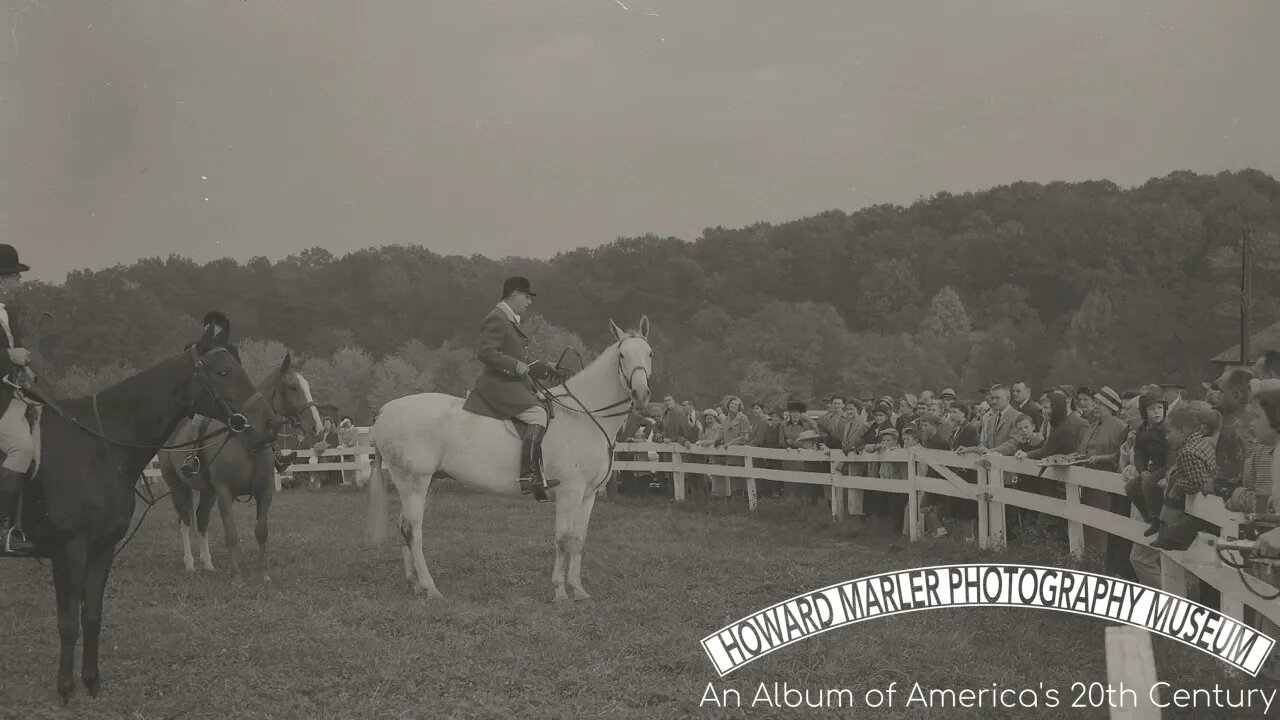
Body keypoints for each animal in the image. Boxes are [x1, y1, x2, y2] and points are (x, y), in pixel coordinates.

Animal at [13, 324, 282, 702]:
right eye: (224, 372)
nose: (270, 424)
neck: (98, 446)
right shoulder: (69, 551)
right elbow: (67, 622)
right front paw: (65, 688)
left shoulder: (101, 549)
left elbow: (91, 617)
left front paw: (91, 681)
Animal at [156, 351, 322, 579]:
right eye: (292, 387)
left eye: (306, 384)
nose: (316, 426)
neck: (248, 441)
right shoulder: (224, 492)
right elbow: (231, 533)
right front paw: (236, 576)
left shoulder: (264, 492)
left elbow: (261, 532)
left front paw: (263, 574)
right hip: (177, 487)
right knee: (185, 521)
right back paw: (190, 564)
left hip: (208, 492)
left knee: (201, 519)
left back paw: (207, 563)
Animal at [368, 315, 650, 599]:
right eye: (622, 355)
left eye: (650, 353)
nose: (641, 394)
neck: (583, 415)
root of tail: (385, 410)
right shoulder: (569, 491)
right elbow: (563, 538)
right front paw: (560, 592)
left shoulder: (588, 494)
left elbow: (578, 539)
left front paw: (578, 590)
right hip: (413, 482)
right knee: (413, 531)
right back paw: (431, 588)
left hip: (418, 483)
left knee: (403, 528)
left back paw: (414, 584)